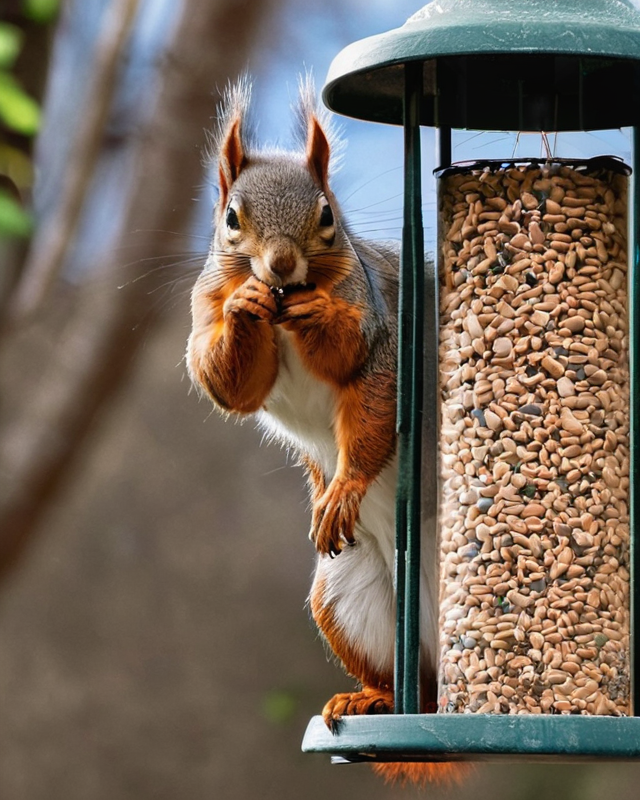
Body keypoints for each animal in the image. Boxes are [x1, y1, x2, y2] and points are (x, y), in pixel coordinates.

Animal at [186, 79, 456, 788]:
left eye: (327, 214)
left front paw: (345, 486)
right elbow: (230, 384)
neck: (283, 309)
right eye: (230, 217)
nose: (280, 265)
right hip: (345, 599)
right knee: (401, 679)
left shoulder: (378, 327)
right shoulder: (204, 309)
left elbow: (361, 380)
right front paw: (244, 310)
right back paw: (374, 699)